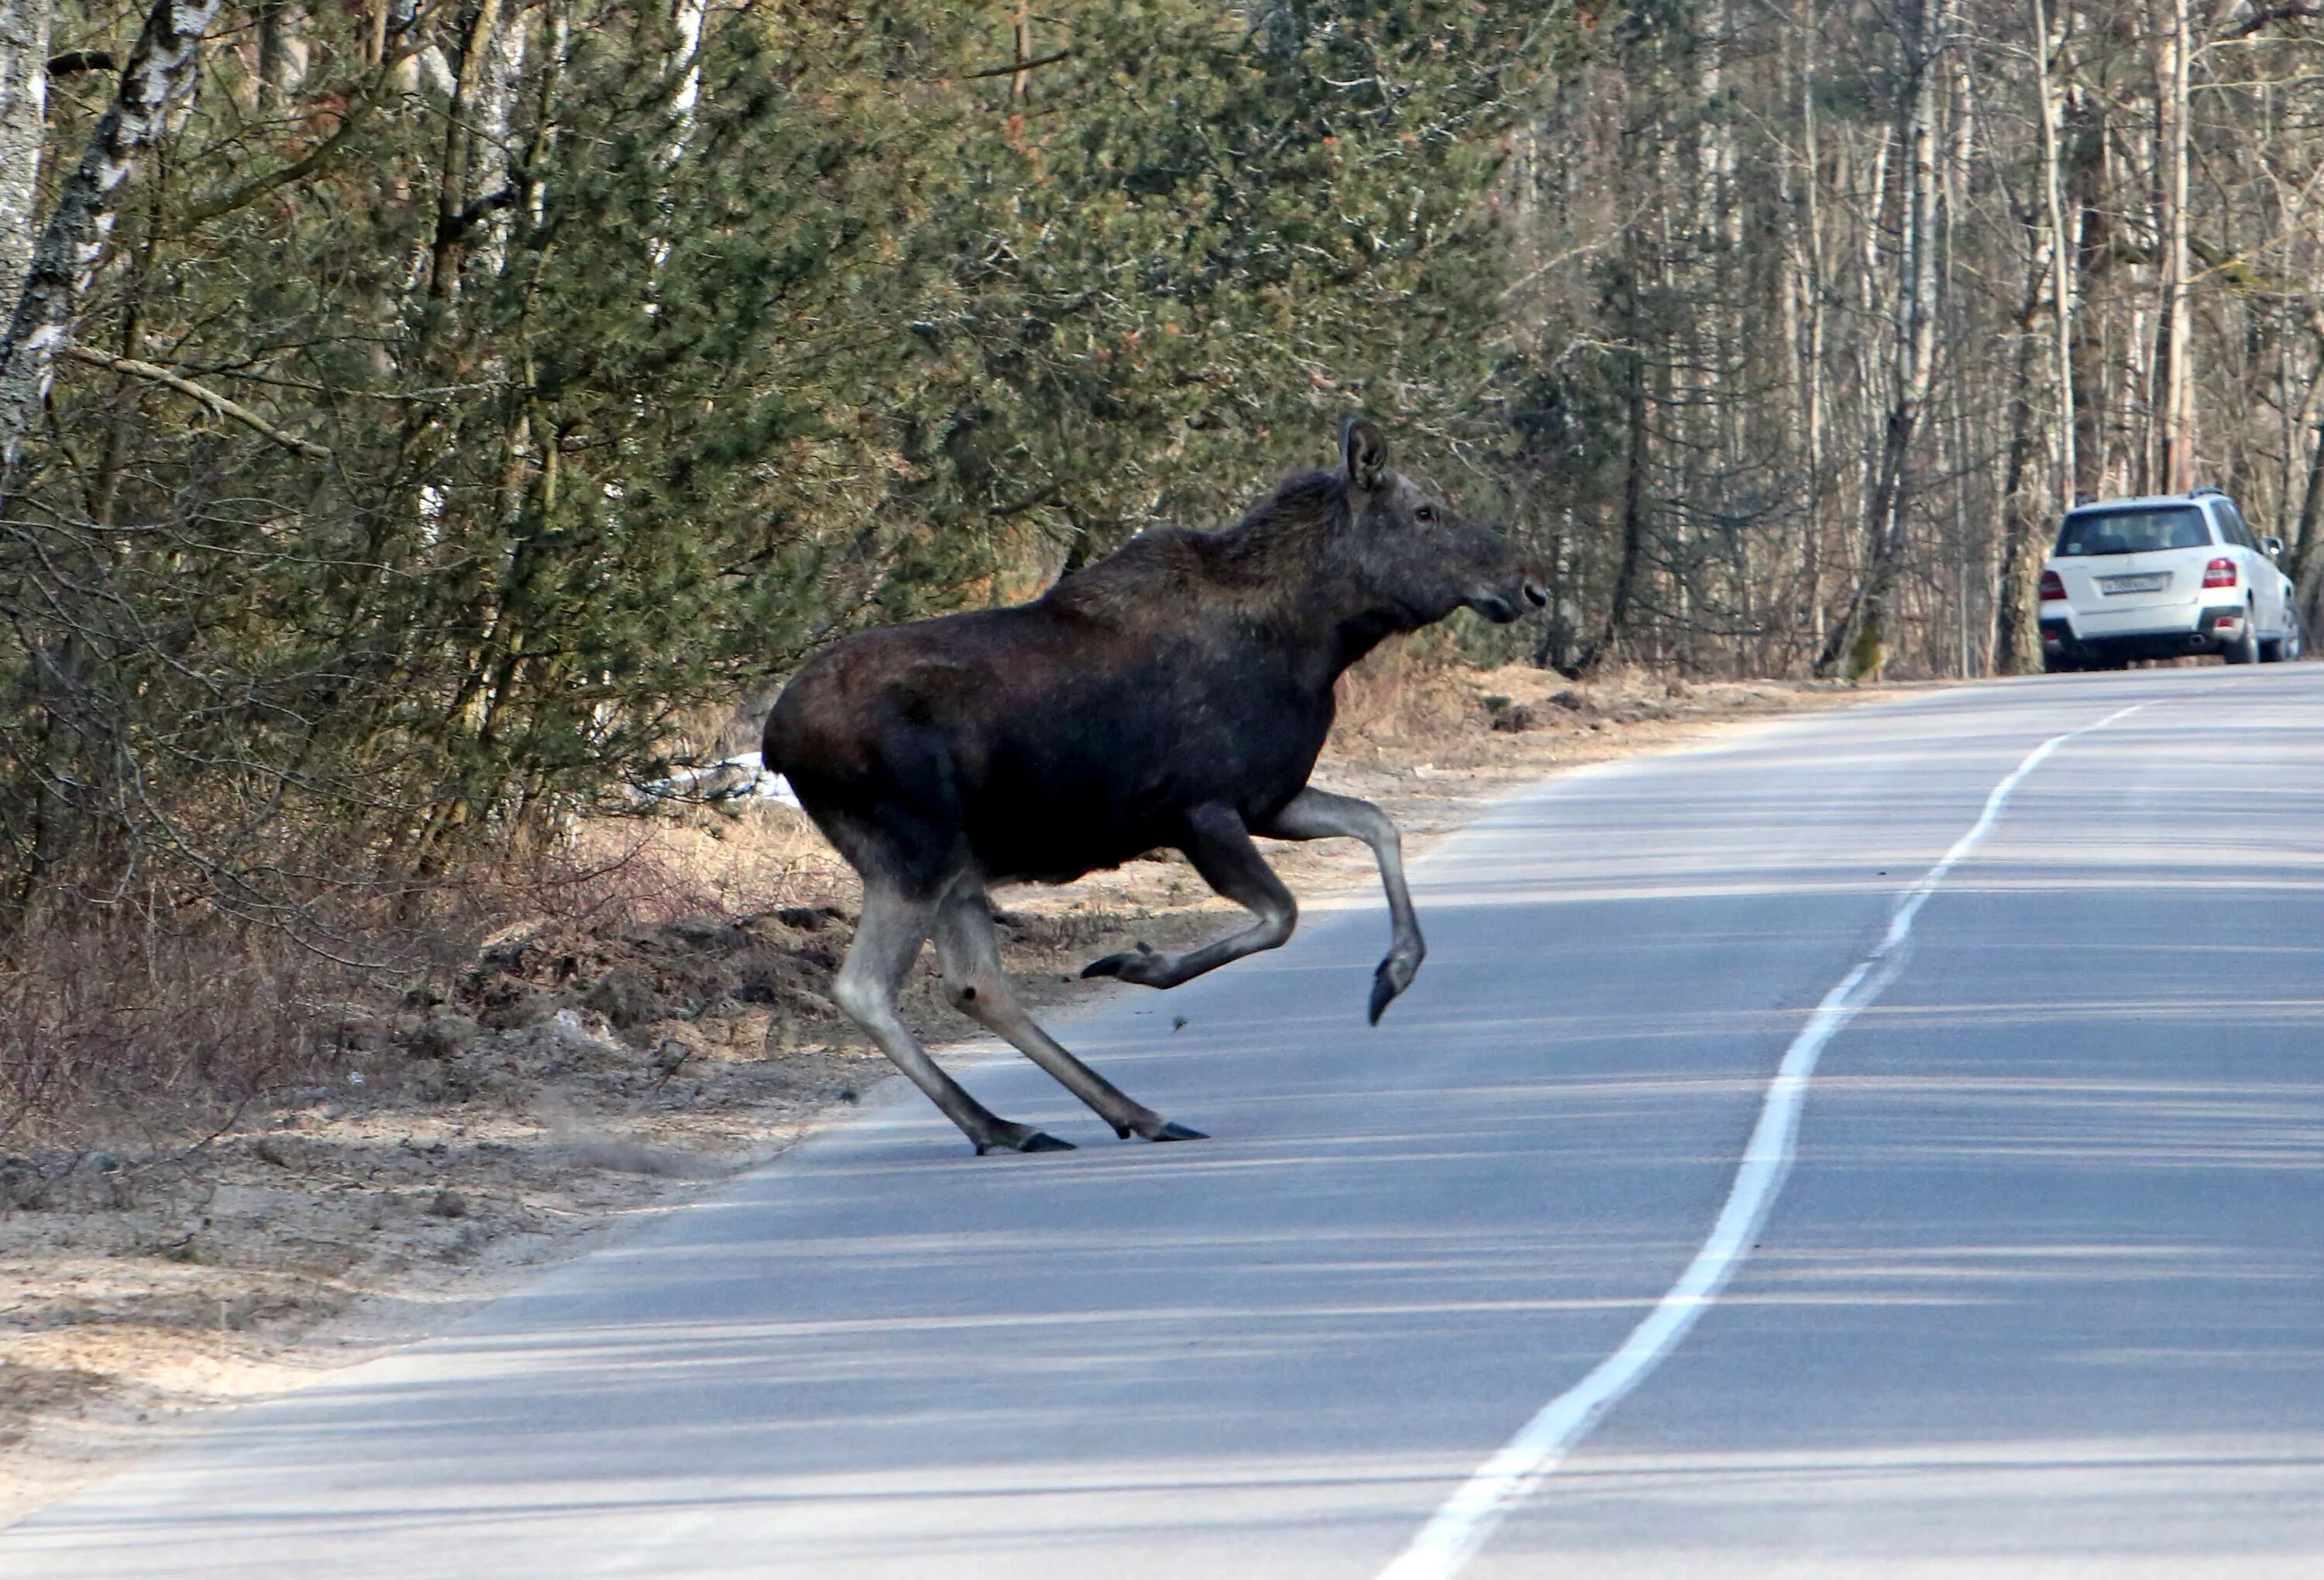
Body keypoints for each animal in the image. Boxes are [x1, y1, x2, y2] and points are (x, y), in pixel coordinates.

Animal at [762, 421, 1552, 1152]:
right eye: (1425, 512)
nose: (1532, 587)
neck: (1321, 642)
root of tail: (775, 741)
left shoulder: (1271, 799)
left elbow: (1379, 823)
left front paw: (1394, 972)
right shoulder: (1200, 810)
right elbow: (1282, 914)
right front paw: (1140, 964)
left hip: (955, 862)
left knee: (976, 984)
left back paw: (1096, 1117)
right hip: (915, 850)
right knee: (868, 987)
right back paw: (1007, 1121)